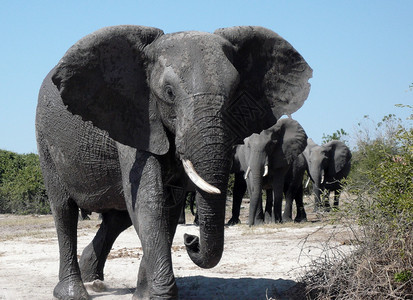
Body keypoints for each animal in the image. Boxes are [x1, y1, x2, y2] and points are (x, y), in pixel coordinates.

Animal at [36, 24, 312, 298]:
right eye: (169, 93)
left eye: (235, 93)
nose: (191, 239)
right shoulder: (136, 119)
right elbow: (150, 202)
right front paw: (159, 294)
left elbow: (167, 205)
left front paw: (144, 295)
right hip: (45, 141)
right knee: (64, 210)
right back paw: (74, 291)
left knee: (118, 217)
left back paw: (94, 281)